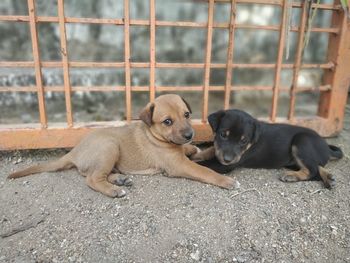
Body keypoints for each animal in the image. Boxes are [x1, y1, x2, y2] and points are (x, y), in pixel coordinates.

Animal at [8, 95, 234, 198]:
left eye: (186, 114)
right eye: (167, 122)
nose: (189, 135)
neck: (156, 136)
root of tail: (74, 151)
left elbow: (189, 151)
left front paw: (192, 148)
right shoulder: (179, 165)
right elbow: (204, 171)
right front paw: (226, 180)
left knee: (95, 173)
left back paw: (119, 179)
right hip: (109, 146)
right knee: (91, 179)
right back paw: (114, 190)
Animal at [194, 110, 344, 190]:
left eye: (243, 141)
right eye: (223, 134)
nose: (227, 159)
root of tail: (327, 148)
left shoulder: (226, 165)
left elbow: (203, 165)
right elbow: (212, 149)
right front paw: (199, 154)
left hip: (302, 141)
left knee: (312, 170)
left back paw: (291, 176)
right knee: (317, 168)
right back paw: (328, 178)